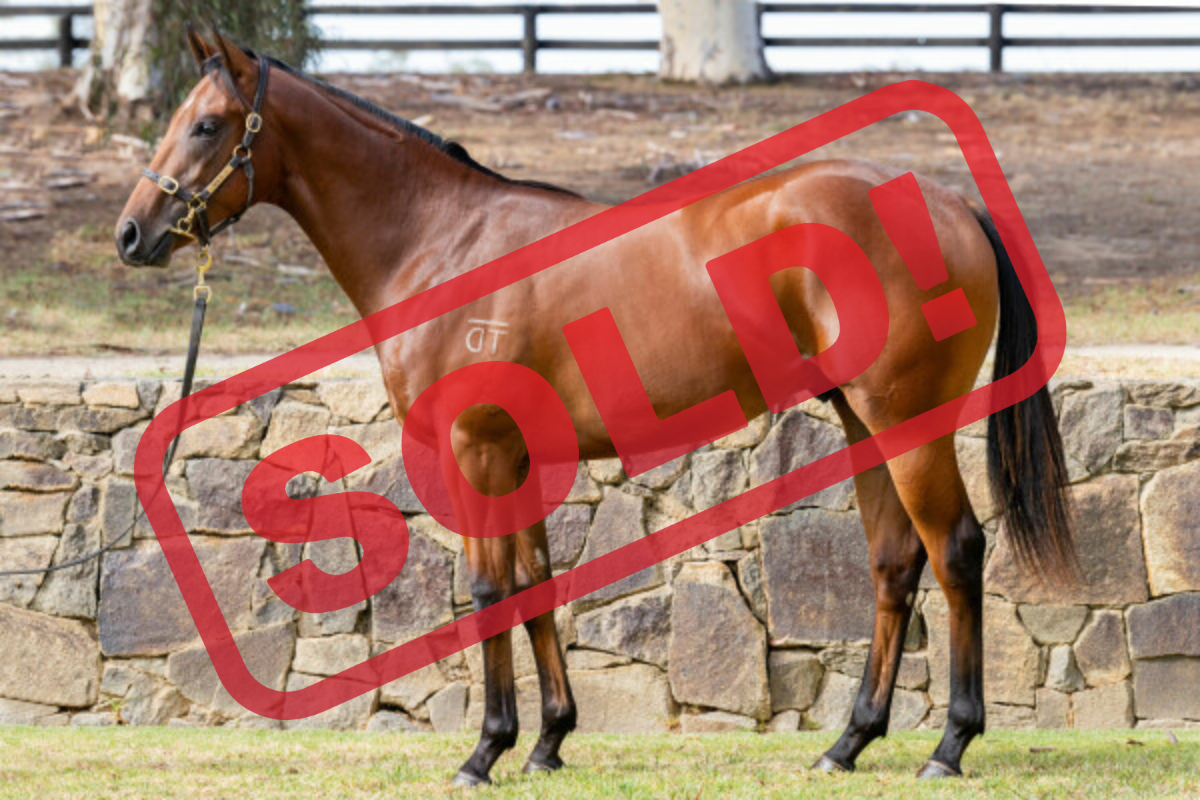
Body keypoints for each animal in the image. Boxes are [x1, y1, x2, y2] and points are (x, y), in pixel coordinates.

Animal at [115, 30, 1073, 785]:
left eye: (207, 124)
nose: (131, 234)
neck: (443, 242)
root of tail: (951, 201)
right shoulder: (521, 455)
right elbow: (537, 584)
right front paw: (547, 742)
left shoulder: (475, 450)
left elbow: (487, 587)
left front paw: (484, 752)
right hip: (860, 421)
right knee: (892, 563)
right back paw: (848, 743)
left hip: (907, 425)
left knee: (955, 552)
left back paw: (948, 746)